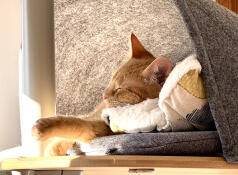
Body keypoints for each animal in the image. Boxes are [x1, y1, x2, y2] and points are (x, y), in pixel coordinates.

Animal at [31, 33, 172, 156]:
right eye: (111, 80)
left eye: (120, 89)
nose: (104, 95)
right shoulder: (94, 116)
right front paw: (54, 149)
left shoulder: (101, 129)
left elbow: (76, 124)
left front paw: (43, 128)